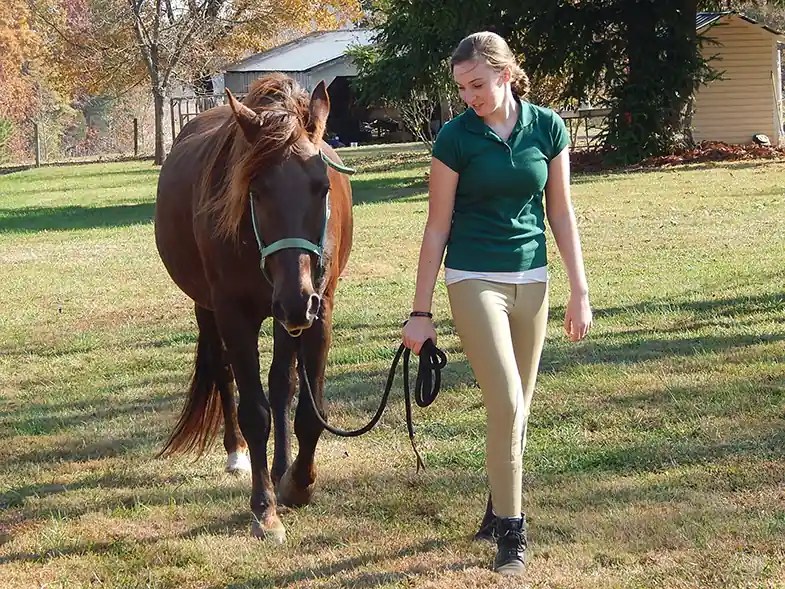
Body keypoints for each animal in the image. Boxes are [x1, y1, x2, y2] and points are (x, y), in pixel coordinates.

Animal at [154, 74, 353, 543]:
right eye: (256, 190)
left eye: (322, 187)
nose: (297, 298)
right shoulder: (234, 314)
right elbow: (254, 412)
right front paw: (265, 510)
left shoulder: (318, 310)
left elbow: (307, 409)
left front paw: (298, 483)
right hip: (212, 309)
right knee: (224, 374)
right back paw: (237, 455)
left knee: (282, 383)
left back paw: (281, 469)